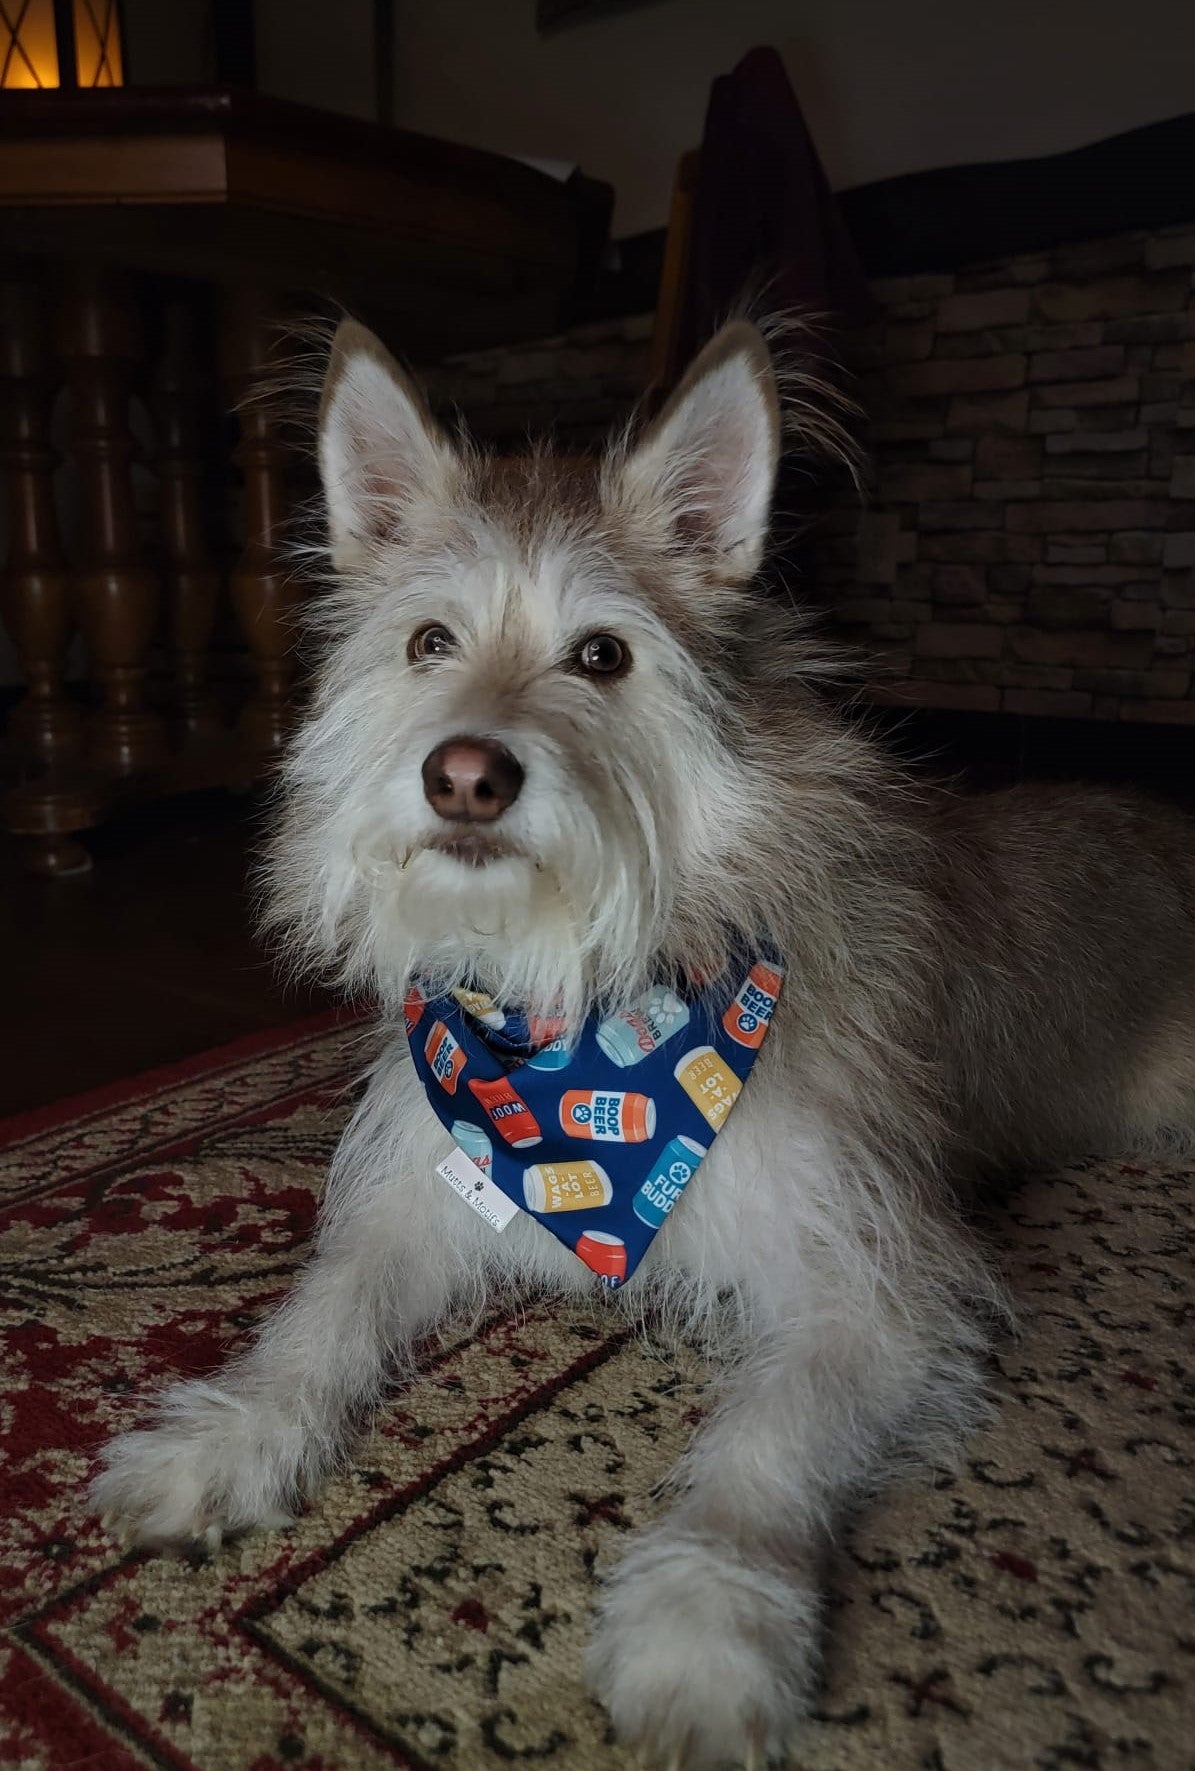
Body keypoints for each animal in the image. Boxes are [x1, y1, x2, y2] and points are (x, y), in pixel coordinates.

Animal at [91, 322, 1195, 1771]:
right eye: (429, 641)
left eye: (601, 657)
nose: (464, 775)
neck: (589, 1032)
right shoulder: (425, 1193)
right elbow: (319, 1314)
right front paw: (220, 1437)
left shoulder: (879, 1278)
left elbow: (762, 1444)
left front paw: (704, 1626)